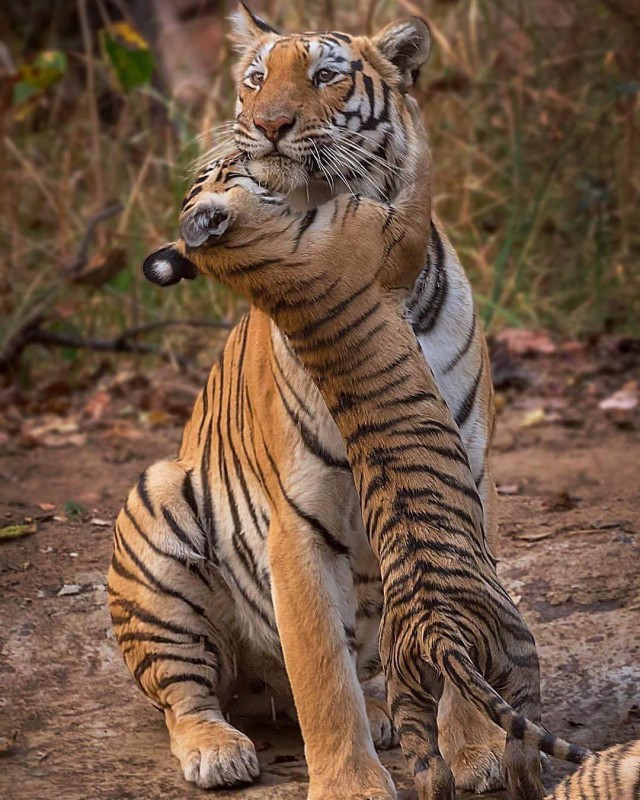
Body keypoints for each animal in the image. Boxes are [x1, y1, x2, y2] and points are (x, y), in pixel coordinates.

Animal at [107, 7, 502, 800]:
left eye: (325, 75)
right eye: (256, 79)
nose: (267, 125)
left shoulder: (465, 489)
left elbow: (456, 617)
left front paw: (475, 750)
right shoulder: (299, 522)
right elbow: (322, 671)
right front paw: (351, 784)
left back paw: (385, 712)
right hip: (157, 508)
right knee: (188, 693)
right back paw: (217, 749)